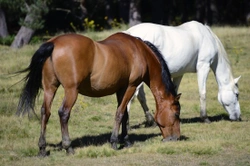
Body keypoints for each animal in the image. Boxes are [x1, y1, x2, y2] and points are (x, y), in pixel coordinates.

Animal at [18, 32, 182, 156]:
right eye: (175, 114)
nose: (176, 138)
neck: (138, 51)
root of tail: (54, 43)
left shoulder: (121, 89)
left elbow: (125, 115)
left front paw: (126, 140)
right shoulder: (131, 86)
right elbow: (120, 113)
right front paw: (114, 142)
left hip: (50, 88)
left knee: (45, 112)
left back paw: (42, 148)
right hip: (71, 91)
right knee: (63, 113)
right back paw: (68, 147)